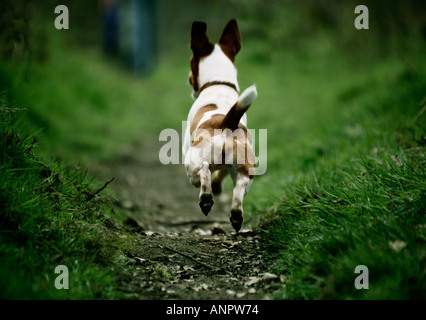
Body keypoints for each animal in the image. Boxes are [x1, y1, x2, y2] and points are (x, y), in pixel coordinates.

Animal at [182, 18, 256, 231]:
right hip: (245, 171)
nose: (188, 78)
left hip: (191, 164)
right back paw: (236, 216)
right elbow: (220, 176)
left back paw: (206, 198)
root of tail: (226, 123)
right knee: (239, 188)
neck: (219, 83)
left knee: (203, 170)